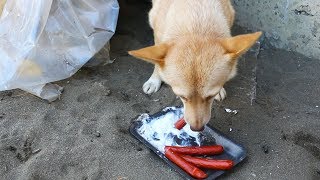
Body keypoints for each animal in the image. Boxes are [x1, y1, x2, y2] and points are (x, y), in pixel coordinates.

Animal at [129, 0, 262, 132]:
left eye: (211, 96)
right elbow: (157, 62)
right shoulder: (157, 30)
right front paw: (155, 80)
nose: (196, 129)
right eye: (181, 96)